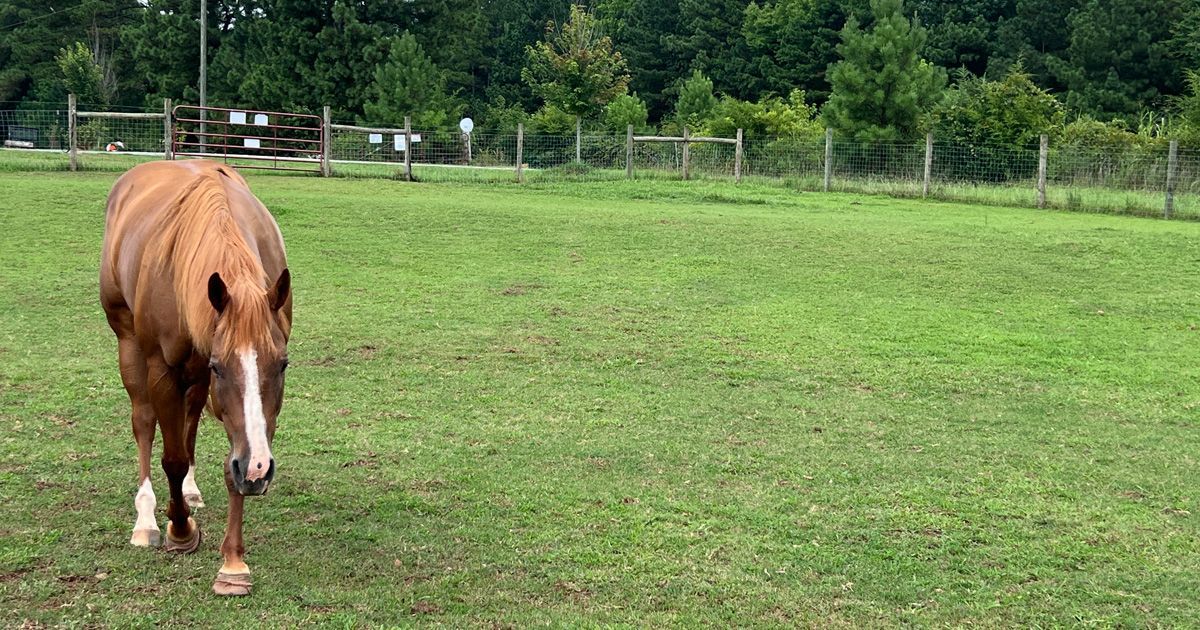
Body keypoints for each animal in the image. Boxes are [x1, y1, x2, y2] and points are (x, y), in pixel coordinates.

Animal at [100, 160, 292, 596]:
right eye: (221, 366)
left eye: (283, 365)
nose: (258, 470)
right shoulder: (166, 369)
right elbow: (170, 457)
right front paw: (181, 531)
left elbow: (227, 460)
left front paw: (233, 565)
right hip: (129, 344)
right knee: (144, 422)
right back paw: (147, 520)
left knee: (188, 425)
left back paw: (189, 491)